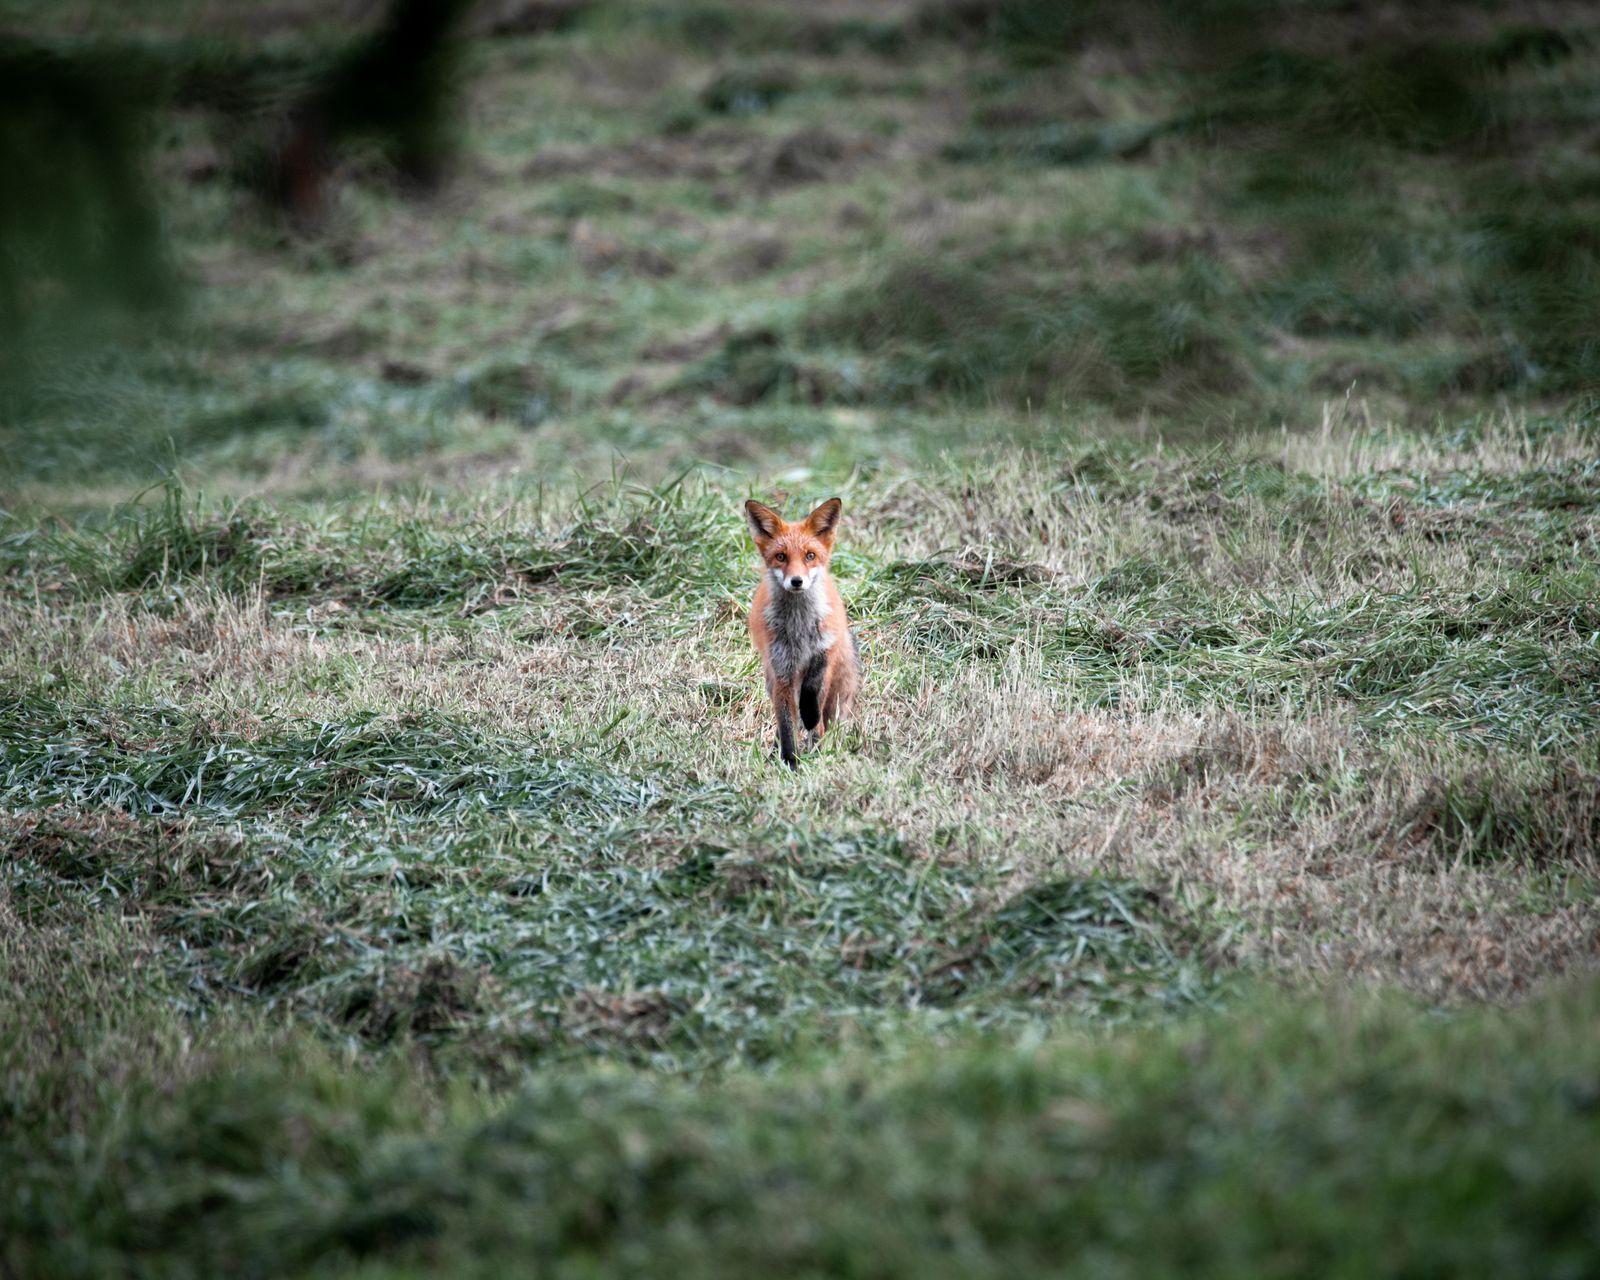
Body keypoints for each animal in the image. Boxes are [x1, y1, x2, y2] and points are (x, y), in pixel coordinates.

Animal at [745, 496, 860, 769]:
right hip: (772, 678)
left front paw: (809, 717)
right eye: (780, 556)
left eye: (810, 556)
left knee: (821, 717)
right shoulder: (782, 670)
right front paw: (789, 761)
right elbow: (787, 722)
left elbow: (812, 691)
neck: (799, 629)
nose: (796, 581)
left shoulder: (824, 650)